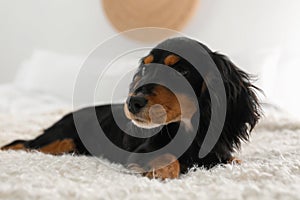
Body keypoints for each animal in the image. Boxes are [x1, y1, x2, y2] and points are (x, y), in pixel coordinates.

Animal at [1, 37, 260, 180]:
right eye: (144, 69)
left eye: (181, 71)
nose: (133, 102)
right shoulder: (141, 152)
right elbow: (166, 156)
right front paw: (162, 172)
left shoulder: (220, 155)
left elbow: (234, 161)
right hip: (59, 139)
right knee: (22, 144)